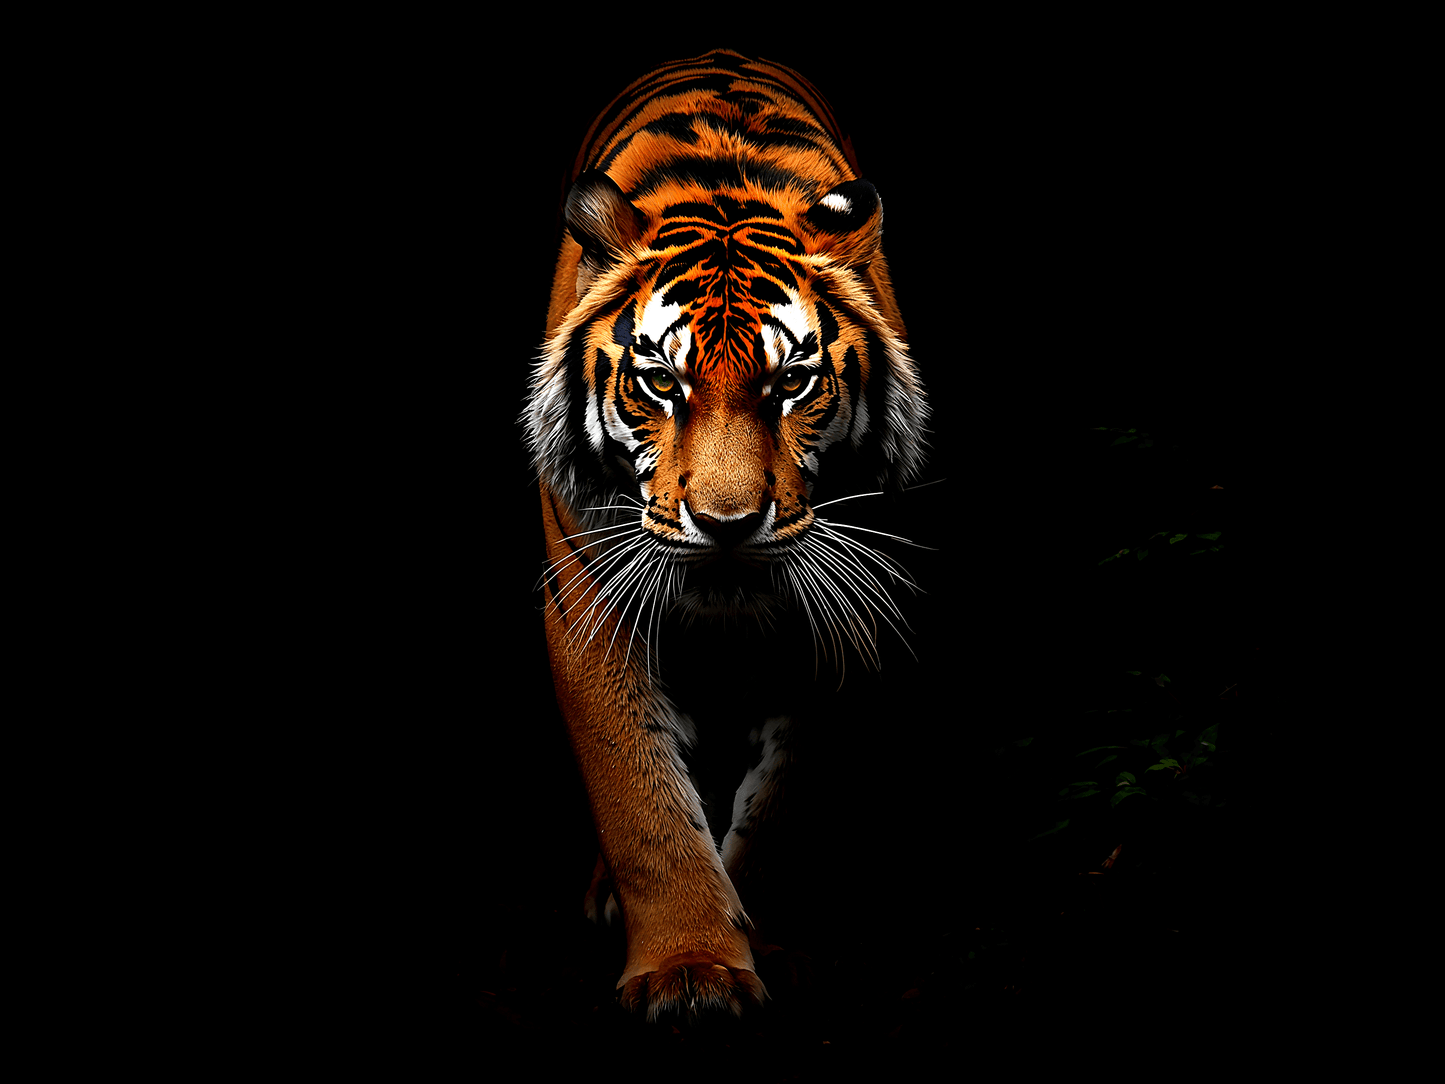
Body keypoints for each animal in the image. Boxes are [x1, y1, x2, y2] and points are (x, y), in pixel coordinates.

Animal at [524, 49, 928, 1022]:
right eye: (661, 381)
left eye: (791, 382)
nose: (728, 525)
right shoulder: (590, 601)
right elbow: (639, 798)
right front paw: (690, 969)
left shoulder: (843, 605)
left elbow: (788, 800)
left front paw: (767, 941)